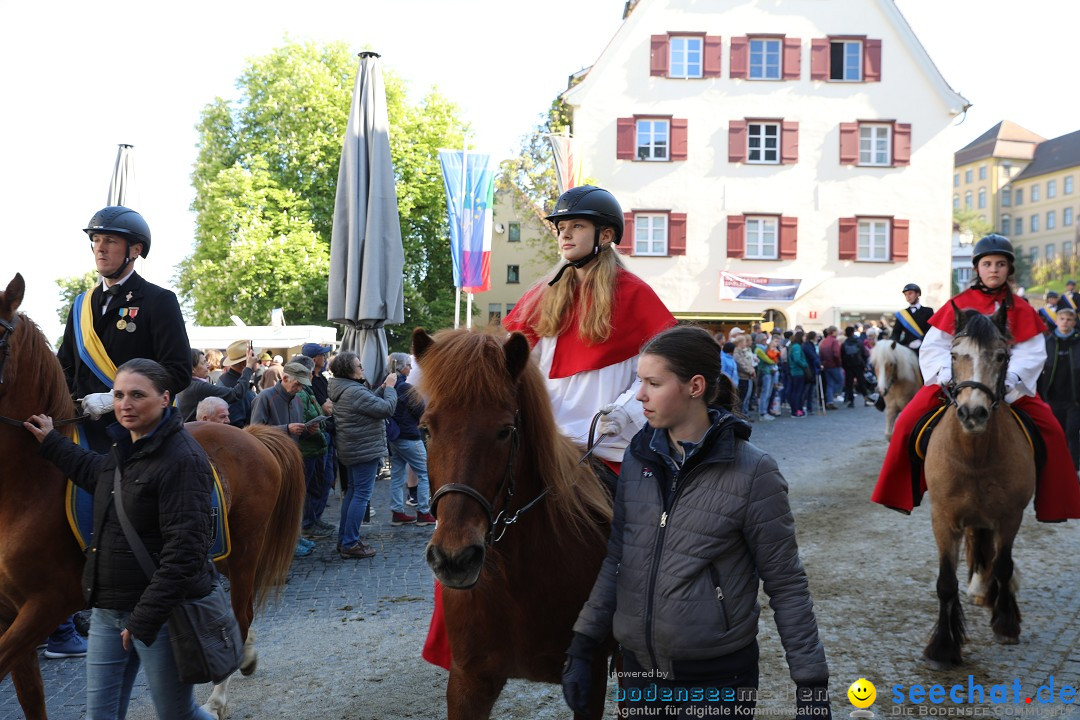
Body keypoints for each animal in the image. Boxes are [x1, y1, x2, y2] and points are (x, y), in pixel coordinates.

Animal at [0, 273, 306, 716]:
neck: (27, 484)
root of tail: (249, 433)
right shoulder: (11, 612)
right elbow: (31, 696)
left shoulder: (48, 602)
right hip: (219, 550)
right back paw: (245, 656)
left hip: (247, 546)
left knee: (242, 610)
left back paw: (218, 694)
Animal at [412, 328, 617, 720]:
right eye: (425, 430)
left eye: (505, 431)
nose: (454, 559)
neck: (514, 580)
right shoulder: (469, 681)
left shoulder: (589, 680)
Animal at [920, 304, 1036, 669]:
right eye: (955, 354)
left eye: (1001, 356)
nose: (973, 413)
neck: (975, 456)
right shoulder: (943, 519)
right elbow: (946, 582)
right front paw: (944, 647)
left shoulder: (1010, 516)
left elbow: (1003, 564)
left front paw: (1006, 622)